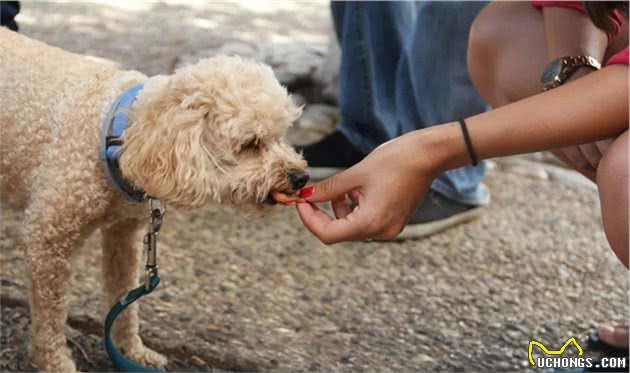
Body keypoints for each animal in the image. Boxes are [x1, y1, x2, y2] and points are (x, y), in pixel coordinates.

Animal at [0, 27, 308, 370]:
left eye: (282, 135)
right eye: (251, 143)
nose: (301, 177)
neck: (115, 134)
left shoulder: (123, 234)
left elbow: (124, 298)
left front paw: (131, 351)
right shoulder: (48, 238)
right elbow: (50, 315)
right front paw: (55, 362)